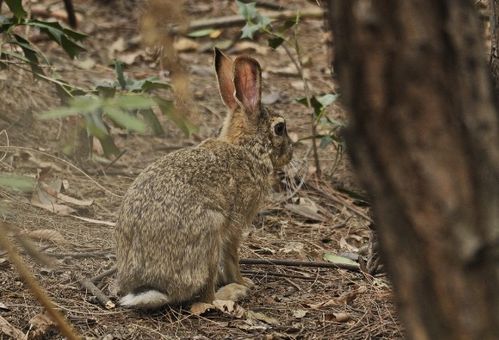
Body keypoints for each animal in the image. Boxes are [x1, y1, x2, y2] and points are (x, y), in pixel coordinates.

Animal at [114, 49, 292, 310]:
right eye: (280, 128)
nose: (290, 153)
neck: (247, 148)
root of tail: (156, 287)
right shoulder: (235, 224)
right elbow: (232, 256)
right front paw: (243, 281)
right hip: (210, 234)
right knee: (205, 296)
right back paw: (230, 293)